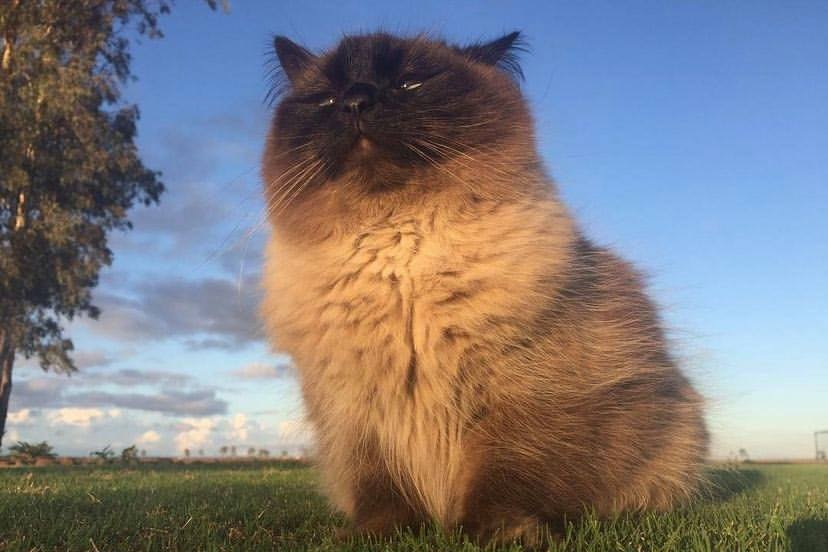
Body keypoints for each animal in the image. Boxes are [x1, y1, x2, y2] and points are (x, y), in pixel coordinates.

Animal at [262, 31, 708, 544]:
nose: (357, 100)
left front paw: (502, 533)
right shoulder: (357, 414)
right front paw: (374, 536)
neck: (401, 264)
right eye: (327, 99)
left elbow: (504, 477)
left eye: (410, 83)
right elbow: (380, 494)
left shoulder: (521, 396)